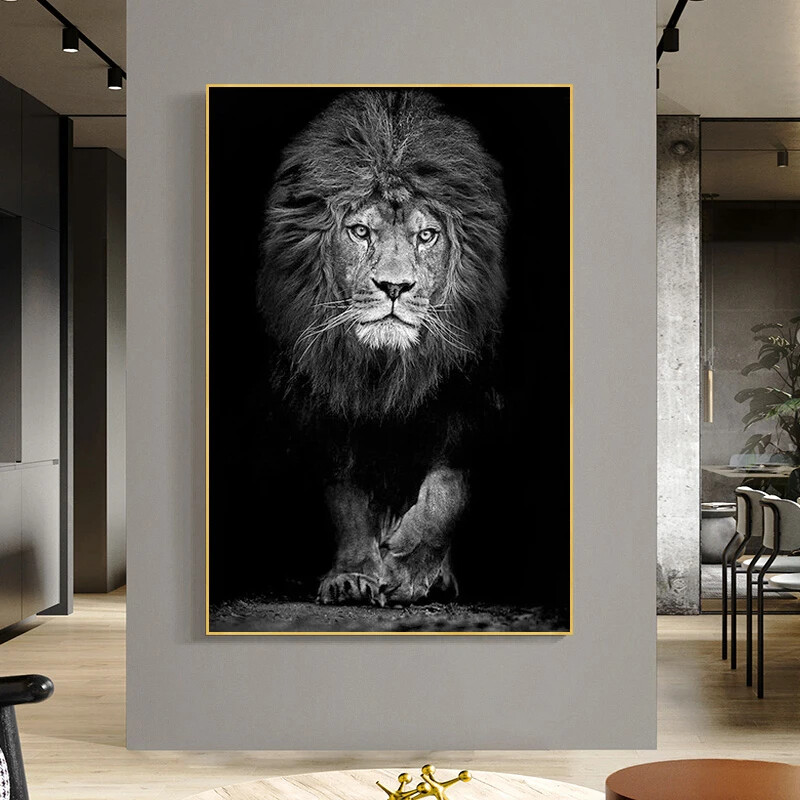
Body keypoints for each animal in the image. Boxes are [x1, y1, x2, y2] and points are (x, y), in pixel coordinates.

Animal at [258, 90, 507, 606]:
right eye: (360, 231)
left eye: (426, 235)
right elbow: (347, 498)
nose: (394, 286)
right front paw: (354, 575)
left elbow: (446, 491)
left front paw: (410, 570)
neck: (386, 369)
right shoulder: (326, 406)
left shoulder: (473, 401)